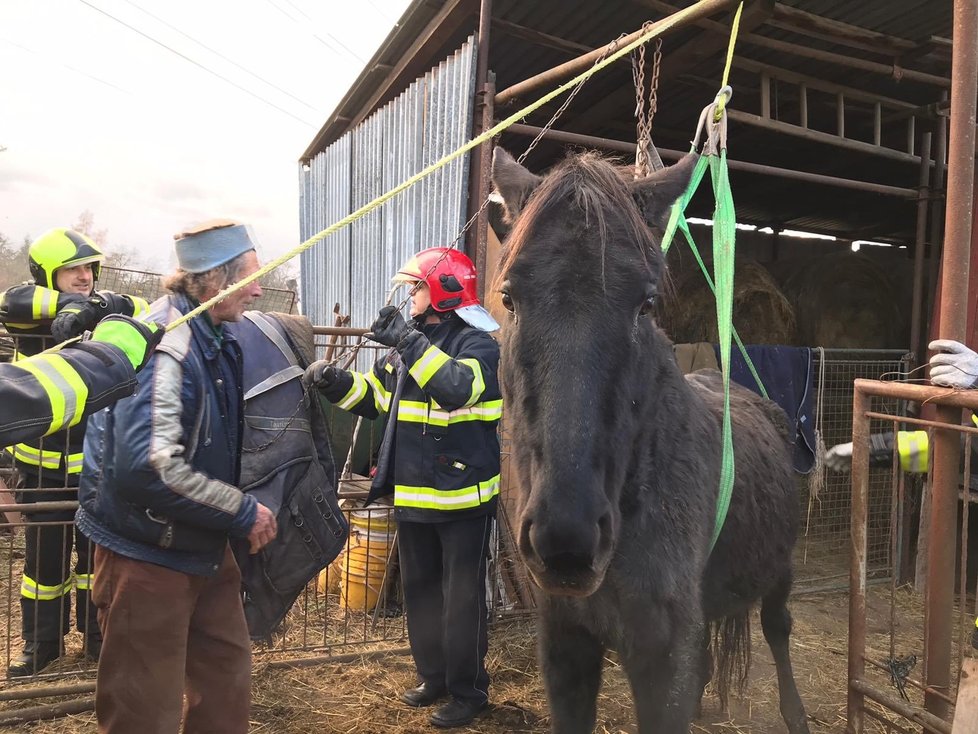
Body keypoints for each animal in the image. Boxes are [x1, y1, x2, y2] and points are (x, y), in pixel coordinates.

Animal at [492, 150, 804, 734]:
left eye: (646, 303)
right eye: (508, 298)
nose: (566, 541)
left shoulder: (662, 660)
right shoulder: (566, 648)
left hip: (780, 570)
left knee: (778, 627)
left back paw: (795, 712)